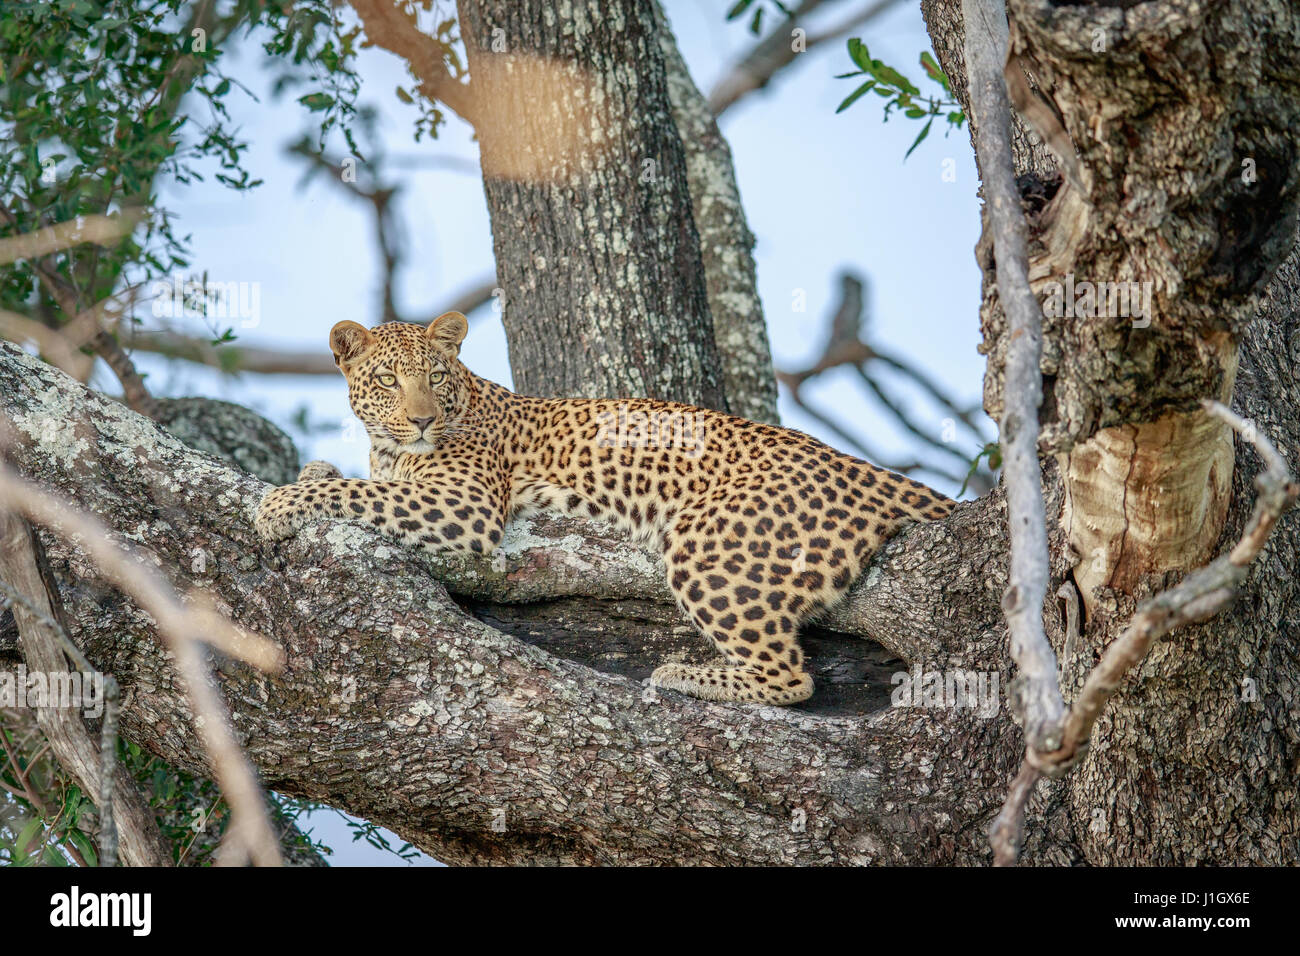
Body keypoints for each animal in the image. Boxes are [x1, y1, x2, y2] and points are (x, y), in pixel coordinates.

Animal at [255, 312, 955, 705]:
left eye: (437, 377)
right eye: (387, 381)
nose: (423, 420)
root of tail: (864, 468)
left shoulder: (465, 503)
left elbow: (360, 493)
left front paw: (279, 504)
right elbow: (356, 481)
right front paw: (311, 471)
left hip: (708, 545)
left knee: (791, 678)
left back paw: (683, 675)